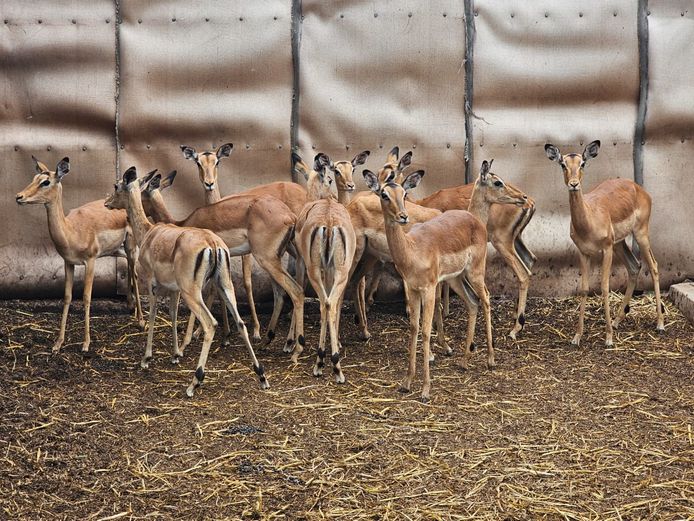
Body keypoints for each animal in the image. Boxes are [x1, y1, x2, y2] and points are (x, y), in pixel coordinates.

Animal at [15, 156, 144, 353]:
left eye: (46, 182)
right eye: (34, 178)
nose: (19, 197)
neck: (72, 231)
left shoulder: (90, 262)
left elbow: (86, 297)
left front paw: (85, 344)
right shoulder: (68, 263)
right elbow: (67, 297)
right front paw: (58, 343)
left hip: (130, 246)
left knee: (136, 273)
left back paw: (141, 321)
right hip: (117, 250)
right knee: (130, 268)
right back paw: (130, 306)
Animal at [105, 167, 268, 397]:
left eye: (116, 186)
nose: (107, 203)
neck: (149, 233)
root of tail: (213, 244)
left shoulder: (153, 285)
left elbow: (153, 316)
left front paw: (146, 358)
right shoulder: (174, 290)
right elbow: (173, 315)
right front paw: (175, 354)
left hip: (192, 292)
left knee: (210, 324)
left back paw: (194, 382)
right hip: (224, 286)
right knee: (240, 323)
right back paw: (261, 375)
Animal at [292, 152, 357, 377]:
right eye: (332, 176)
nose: (350, 185)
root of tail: (329, 222)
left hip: (318, 271)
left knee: (325, 303)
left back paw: (323, 362)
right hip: (339, 272)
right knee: (330, 303)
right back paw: (333, 363)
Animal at [416, 160, 536, 339]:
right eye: (497, 182)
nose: (522, 197)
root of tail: (531, 204)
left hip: (502, 243)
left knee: (522, 273)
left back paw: (515, 327)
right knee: (528, 261)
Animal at [544, 140, 664, 346]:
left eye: (583, 163)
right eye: (563, 164)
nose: (574, 184)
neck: (589, 219)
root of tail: (638, 188)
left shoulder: (606, 249)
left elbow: (605, 287)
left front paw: (608, 338)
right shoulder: (584, 253)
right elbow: (584, 289)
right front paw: (577, 336)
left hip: (640, 234)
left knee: (654, 266)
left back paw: (660, 324)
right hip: (620, 243)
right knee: (635, 266)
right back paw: (616, 321)